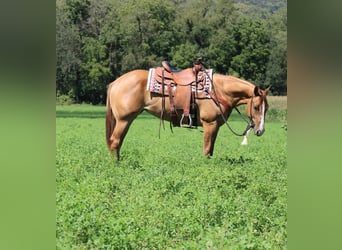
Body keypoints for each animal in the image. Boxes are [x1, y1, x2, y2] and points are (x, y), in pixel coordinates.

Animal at [105, 62, 272, 160]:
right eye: (256, 107)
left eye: (267, 108)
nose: (261, 131)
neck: (218, 90)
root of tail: (115, 82)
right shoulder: (209, 124)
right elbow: (206, 150)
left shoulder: (215, 126)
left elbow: (211, 150)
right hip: (124, 119)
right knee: (115, 142)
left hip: (127, 120)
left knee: (118, 142)